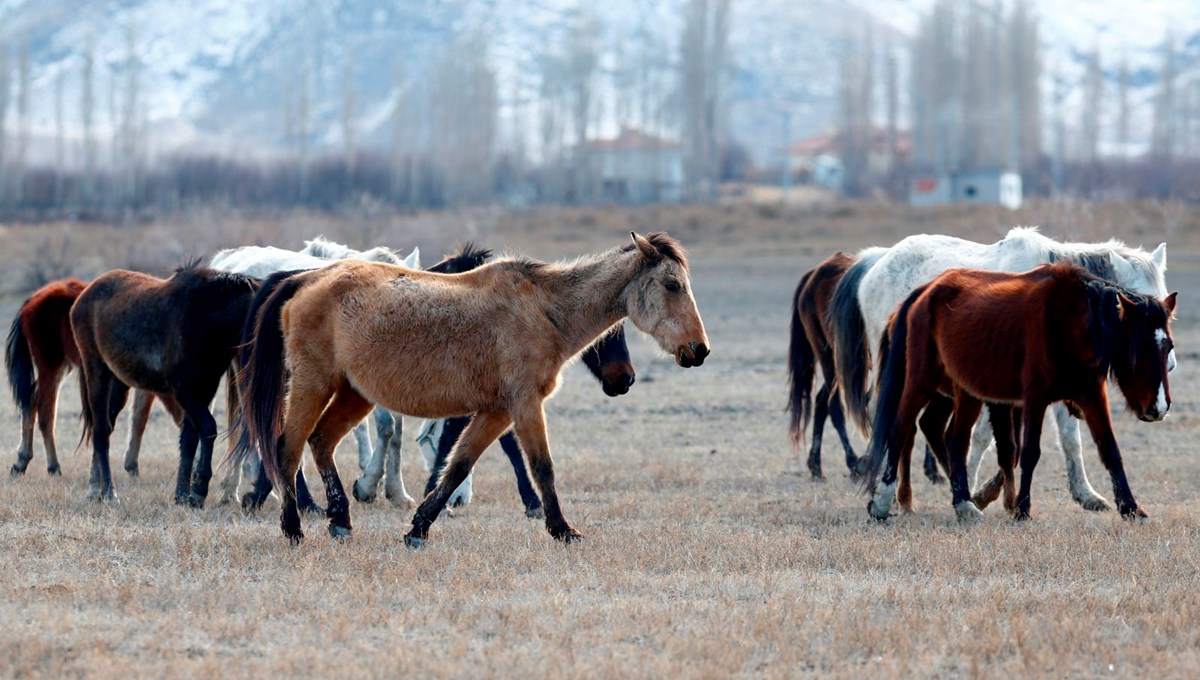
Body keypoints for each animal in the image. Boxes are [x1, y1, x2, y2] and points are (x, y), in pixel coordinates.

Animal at [5, 279, 182, 477]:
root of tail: (33, 299)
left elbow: (139, 418)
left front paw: (131, 466)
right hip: (51, 367)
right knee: (44, 412)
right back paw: (53, 466)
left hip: (60, 367)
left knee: (31, 401)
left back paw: (22, 462)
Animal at [232, 233, 700, 549]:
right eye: (671, 285)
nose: (699, 350)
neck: (543, 310)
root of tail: (304, 279)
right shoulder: (524, 405)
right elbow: (542, 467)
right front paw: (563, 530)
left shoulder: (496, 411)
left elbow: (457, 465)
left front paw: (419, 528)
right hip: (313, 383)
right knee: (288, 448)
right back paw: (294, 528)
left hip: (354, 393)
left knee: (321, 441)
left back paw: (341, 520)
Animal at [835, 226, 1171, 513]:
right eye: (1133, 306)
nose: (1168, 365)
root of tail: (877, 260)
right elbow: (990, 439)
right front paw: (980, 490)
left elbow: (1068, 440)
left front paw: (1085, 494)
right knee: (889, 419)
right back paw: (889, 493)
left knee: (923, 426)